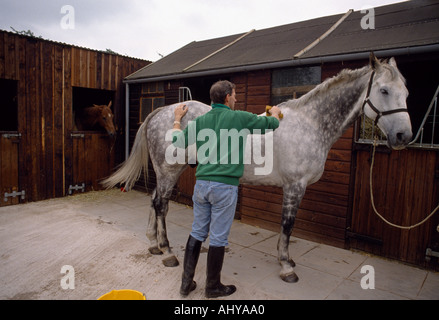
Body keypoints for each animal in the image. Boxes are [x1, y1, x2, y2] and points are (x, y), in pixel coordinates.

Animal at [103, 54, 412, 282]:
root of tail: (161, 112)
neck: (310, 124)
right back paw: (167, 252)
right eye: (384, 90)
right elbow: (287, 225)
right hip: (169, 170)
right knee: (161, 205)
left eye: (406, 92)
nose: (403, 136)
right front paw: (286, 266)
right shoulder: (294, 186)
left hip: (167, 172)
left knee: (155, 201)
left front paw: (287, 260)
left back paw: (153, 244)